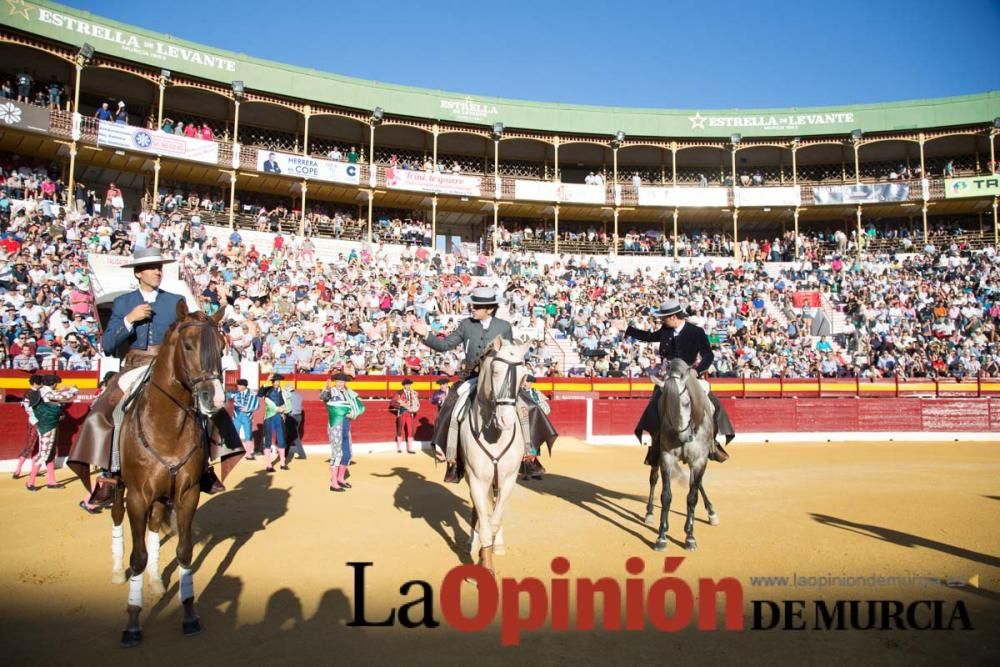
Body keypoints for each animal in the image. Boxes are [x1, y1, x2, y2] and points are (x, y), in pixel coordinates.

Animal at [110, 302, 226, 648]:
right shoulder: (137, 496)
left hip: (163, 495)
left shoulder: (188, 493)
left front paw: (189, 613)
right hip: (118, 486)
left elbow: (184, 551)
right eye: (187, 345)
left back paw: (156, 583)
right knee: (117, 516)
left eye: (222, 347)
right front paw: (132, 623)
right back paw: (117, 572)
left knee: (155, 523)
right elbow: (137, 555)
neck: (167, 426)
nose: (214, 398)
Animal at [458, 340, 528, 576]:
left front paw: (489, 551)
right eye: (496, 371)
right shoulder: (477, 479)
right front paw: (484, 565)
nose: (506, 420)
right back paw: (471, 542)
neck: (494, 435)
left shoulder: (509, 479)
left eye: (524, 375)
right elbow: (484, 521)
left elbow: (494, 521)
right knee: (478, 511)